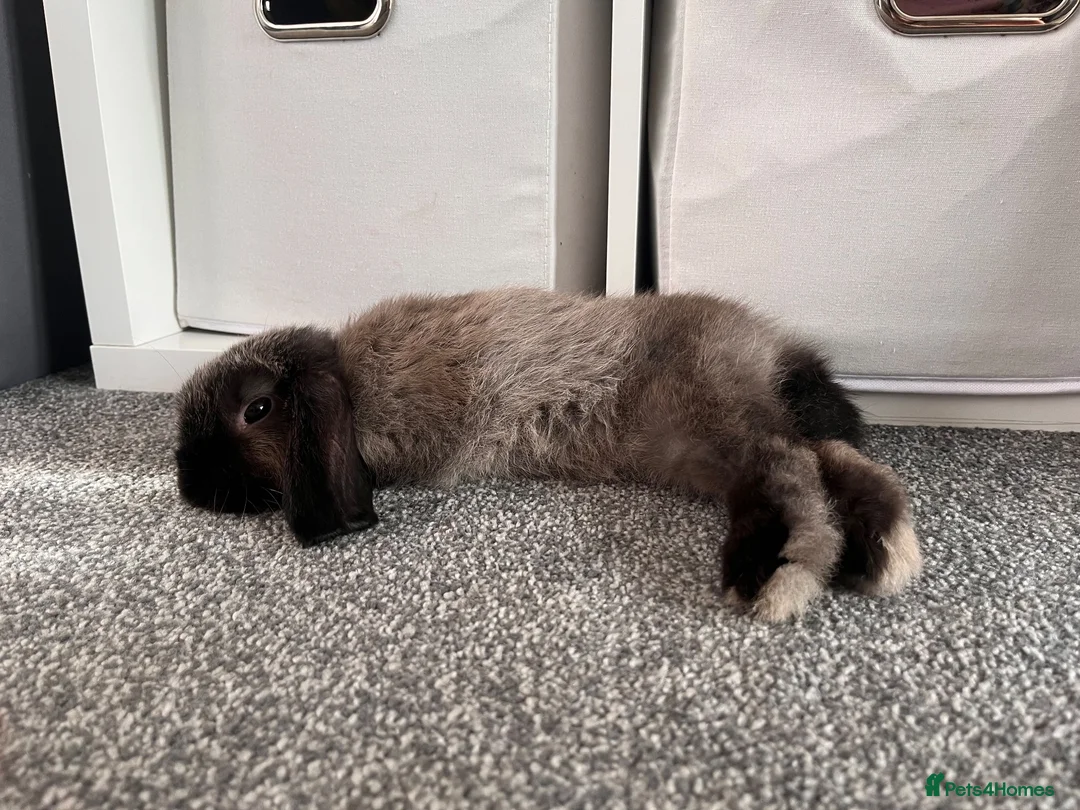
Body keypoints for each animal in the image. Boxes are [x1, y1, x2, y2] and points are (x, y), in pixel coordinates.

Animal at [175, 287, 921, 621]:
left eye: (257, 410)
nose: (188, 484)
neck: (352, 384)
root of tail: (770, 348)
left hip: (717, 419)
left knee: (792, 470)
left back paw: (772, 571)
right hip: (703, 445)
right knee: (837, 462)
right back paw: (881, 553)